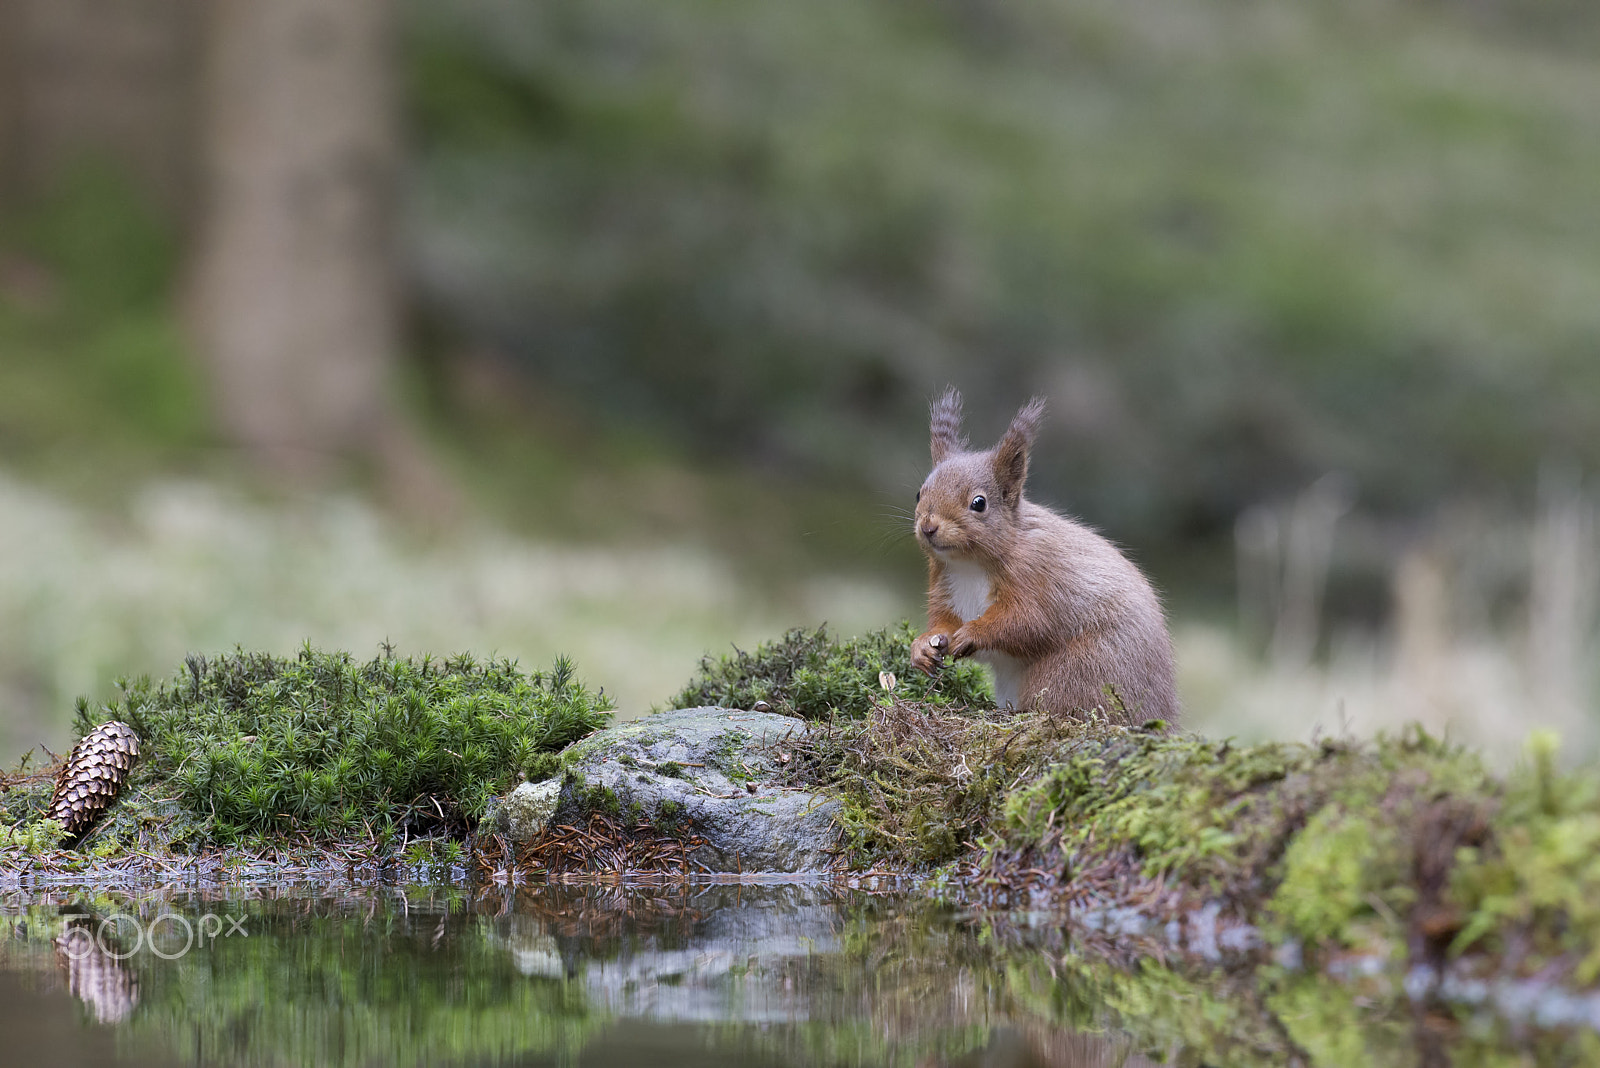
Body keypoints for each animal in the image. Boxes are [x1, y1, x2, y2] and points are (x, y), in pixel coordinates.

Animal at [908, 388, 1184, 729]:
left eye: (979, 503)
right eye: (919, 494)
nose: (928, 527)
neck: (969, 564)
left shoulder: (1038, 577)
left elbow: (1027, 623)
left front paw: (974, 632)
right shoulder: (944, 584)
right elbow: (944, 622)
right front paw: (922, 645)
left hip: (1074, 673)